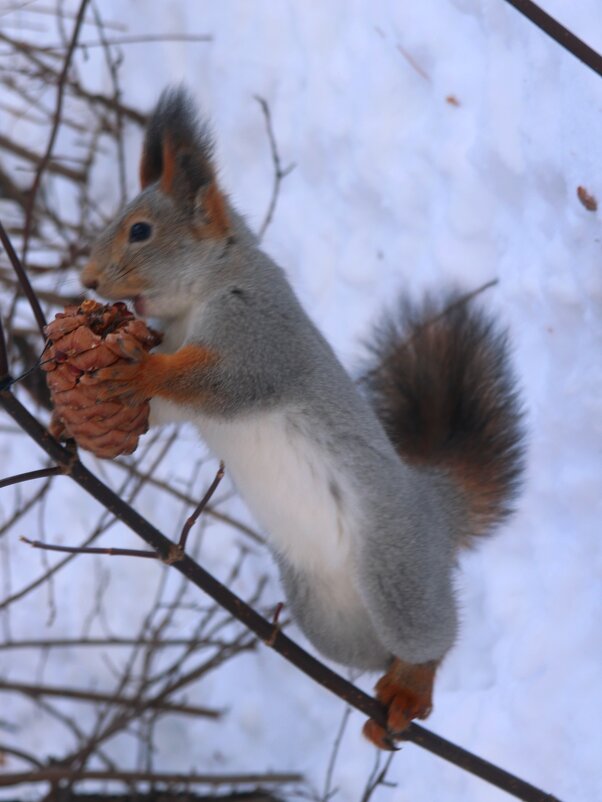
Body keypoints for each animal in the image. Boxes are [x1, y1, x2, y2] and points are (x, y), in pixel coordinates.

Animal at [81, 86, 524, 744]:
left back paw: (413, 686)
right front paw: (76, 419)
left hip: (398, 572)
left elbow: (227, 382)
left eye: (139, 231)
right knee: (373, 652)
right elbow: (163, 410)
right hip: (325, 615)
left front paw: (136, 370)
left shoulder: (262, 330)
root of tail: (432, 506)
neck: (196, 301)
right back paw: (389, 695)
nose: (86, 279)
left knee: (432, 639)